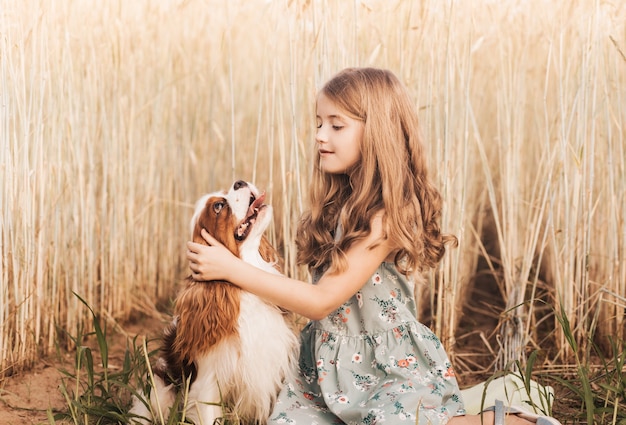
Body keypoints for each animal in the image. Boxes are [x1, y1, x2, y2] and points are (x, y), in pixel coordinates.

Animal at [129, 180, 298, 424]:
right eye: (218, 206)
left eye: (227, 192)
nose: (239, 182)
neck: (241, 289)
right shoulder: (208, 383)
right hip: (159, 389)